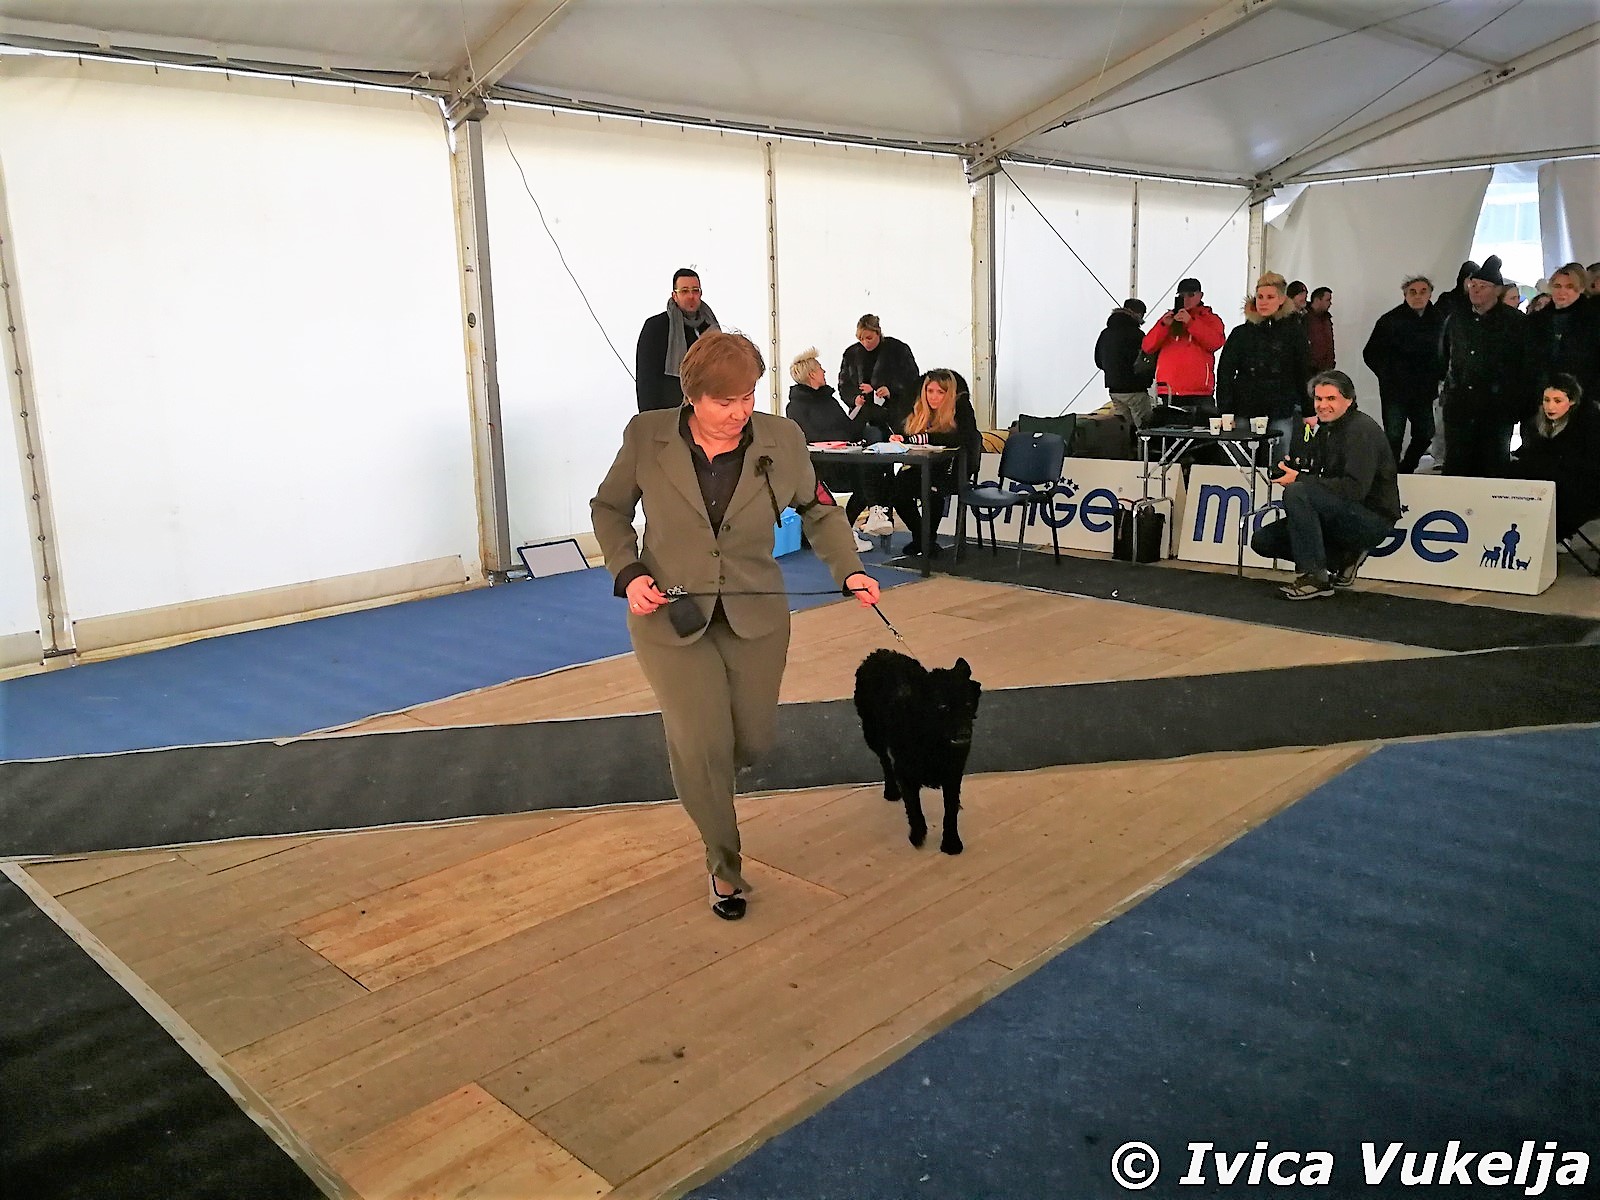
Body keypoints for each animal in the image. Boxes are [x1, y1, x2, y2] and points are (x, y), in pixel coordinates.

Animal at [853, 649, 983, 855]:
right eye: (942, 706)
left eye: (968, 704)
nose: (964, 733)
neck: (932, 740)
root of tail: (877, 653)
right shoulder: (906, 774)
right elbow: (914, 808)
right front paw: (918, 834)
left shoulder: (953, 774)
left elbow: (950, 811)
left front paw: (951, 842)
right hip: (873, 733)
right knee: (884, 761)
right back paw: (891, 790)